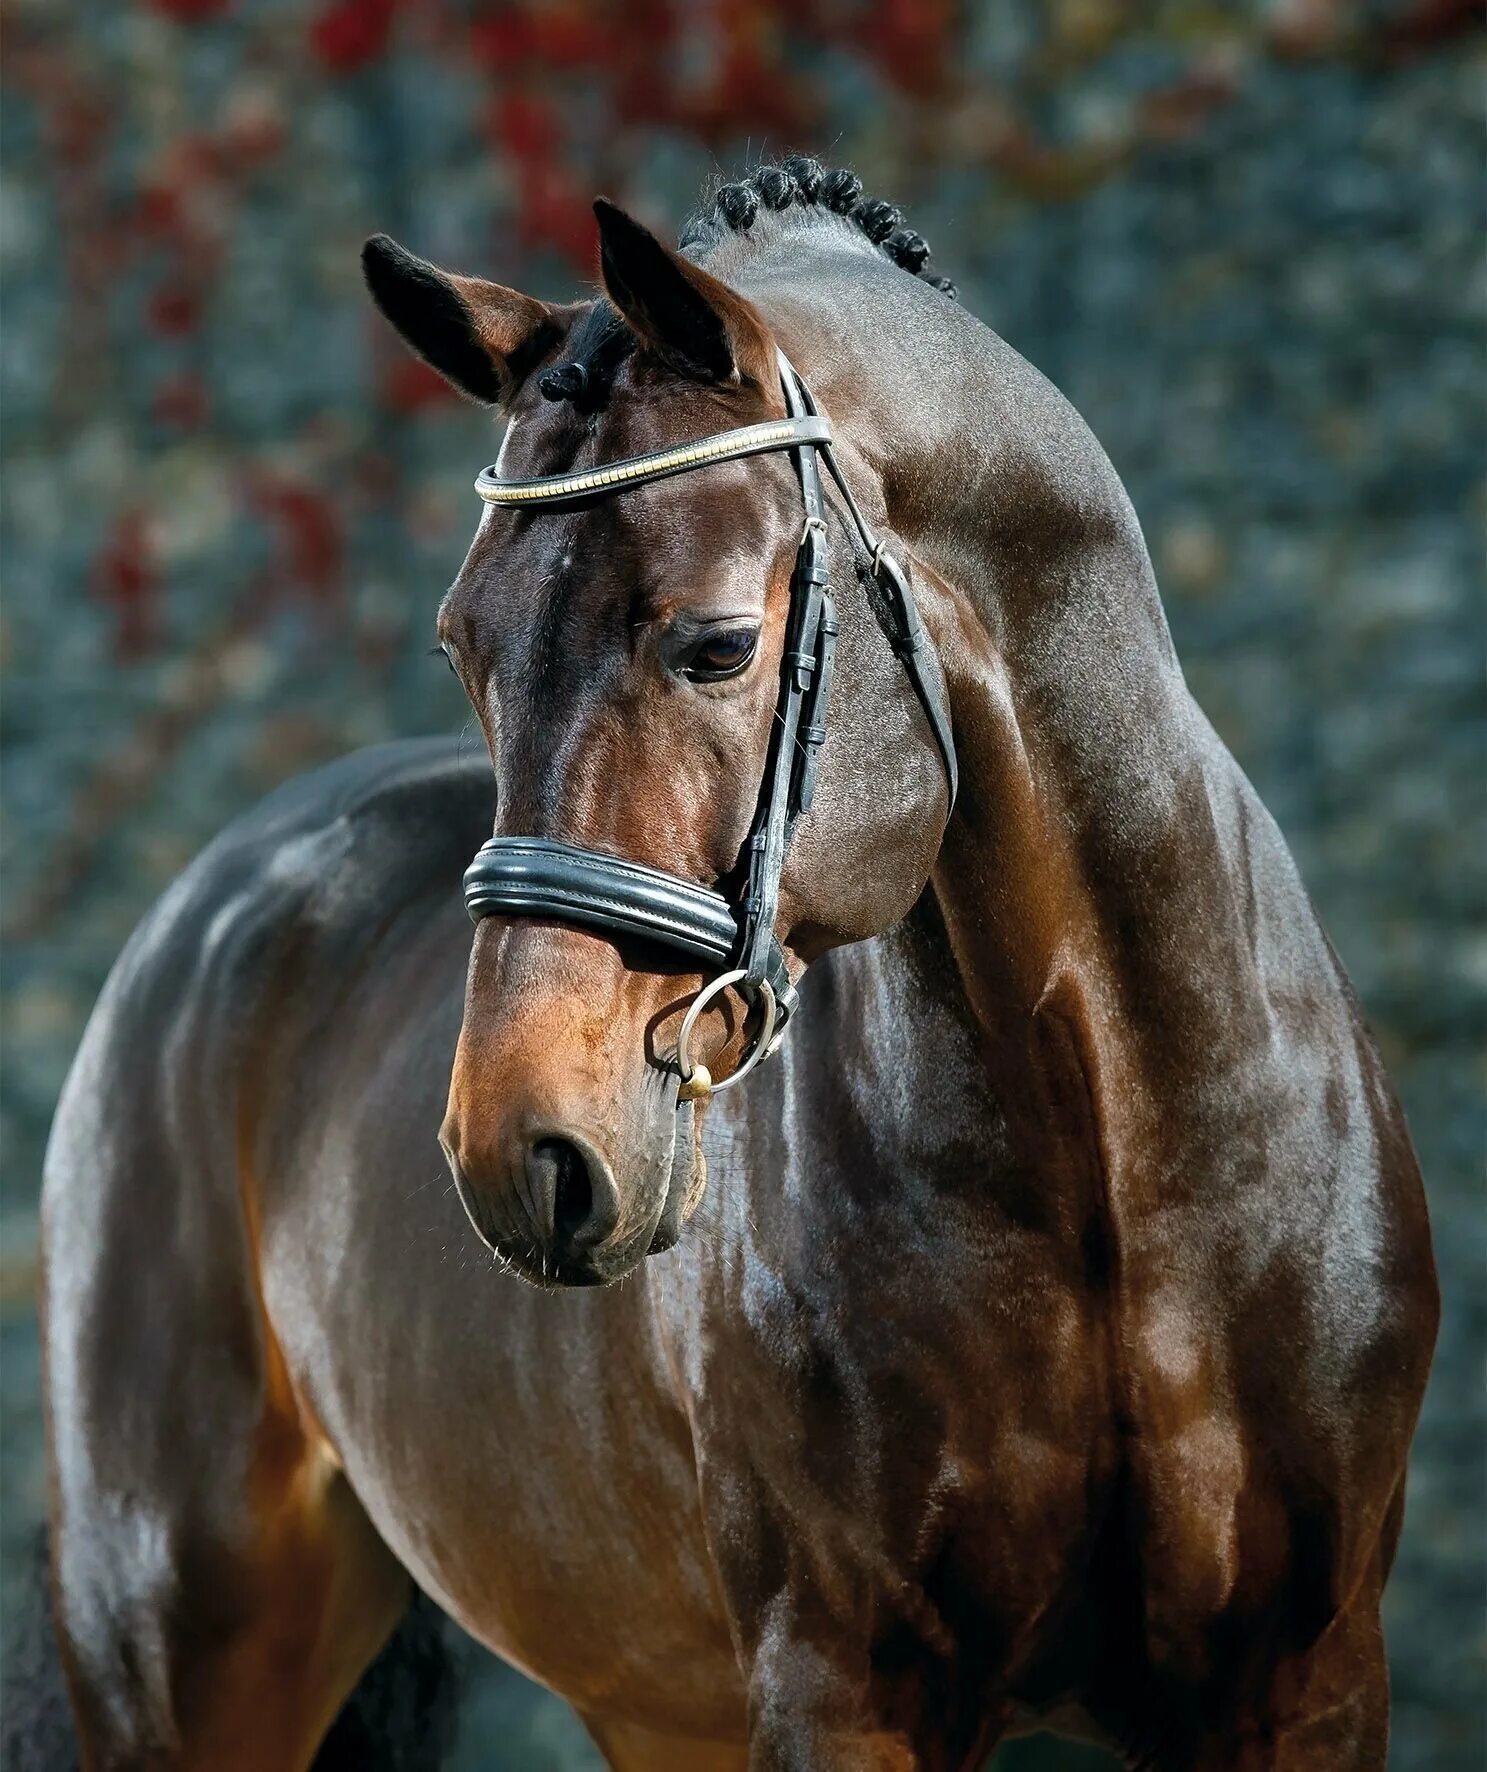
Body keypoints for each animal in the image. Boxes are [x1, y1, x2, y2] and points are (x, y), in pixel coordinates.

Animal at [37, 159, 1432, 1764]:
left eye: (713, 645)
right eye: (463, 649)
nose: (519, 1149)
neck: (1118, 1168)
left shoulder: (1306, 1679)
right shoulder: (838, 1682)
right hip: (178, 1650)